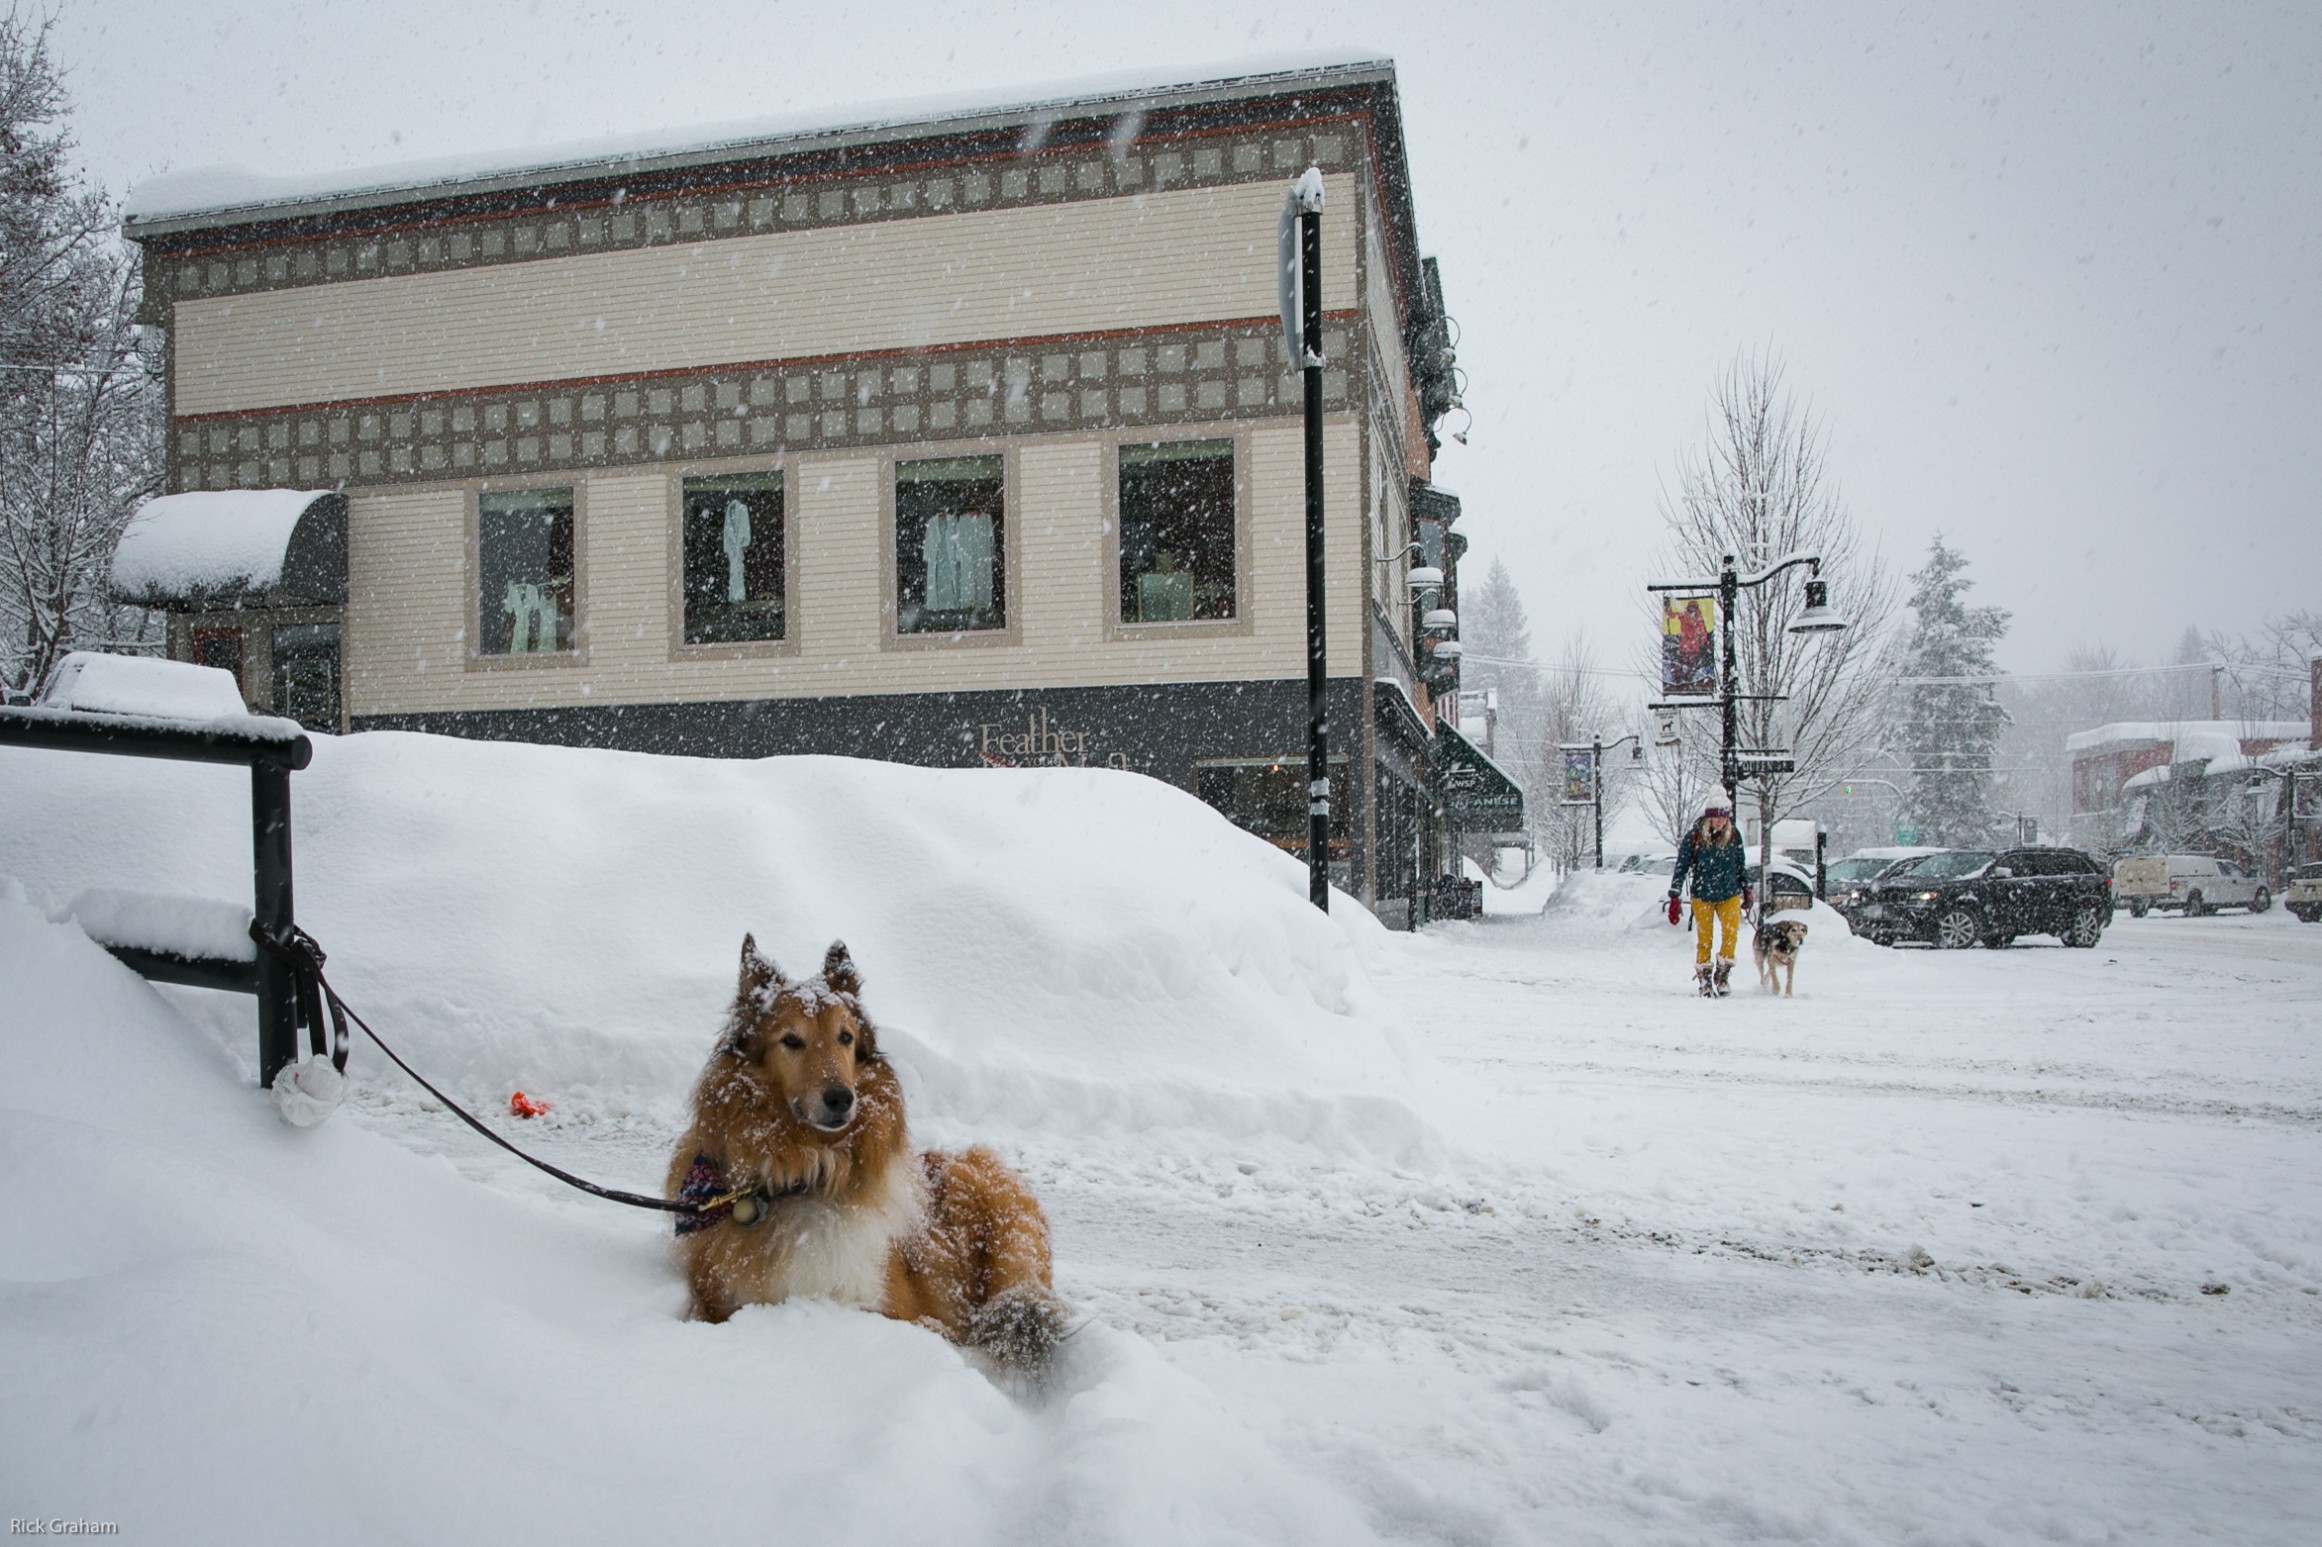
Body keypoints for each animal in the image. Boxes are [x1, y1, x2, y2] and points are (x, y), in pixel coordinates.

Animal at [668, 933, 1072, 1375]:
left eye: (845, 1037)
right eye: (790, 1040)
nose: (841, 1098)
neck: (808, 1174)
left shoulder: (898, 1307)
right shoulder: (717, 1301)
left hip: (986, 1194)